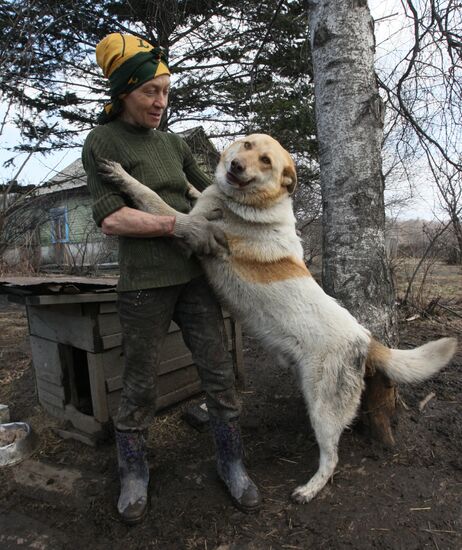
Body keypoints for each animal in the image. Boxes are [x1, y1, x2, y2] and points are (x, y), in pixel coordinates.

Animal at [98, 136, 458, 506]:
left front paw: (122, 176)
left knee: (332, 457)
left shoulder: (187, 227)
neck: (249, 203)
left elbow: (152, 199)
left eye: (266, 161)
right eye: (246, 145)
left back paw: (308, 489)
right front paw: (192, 186)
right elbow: (195, 194)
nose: (236, 166)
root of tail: (366, 337)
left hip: (323, 408)